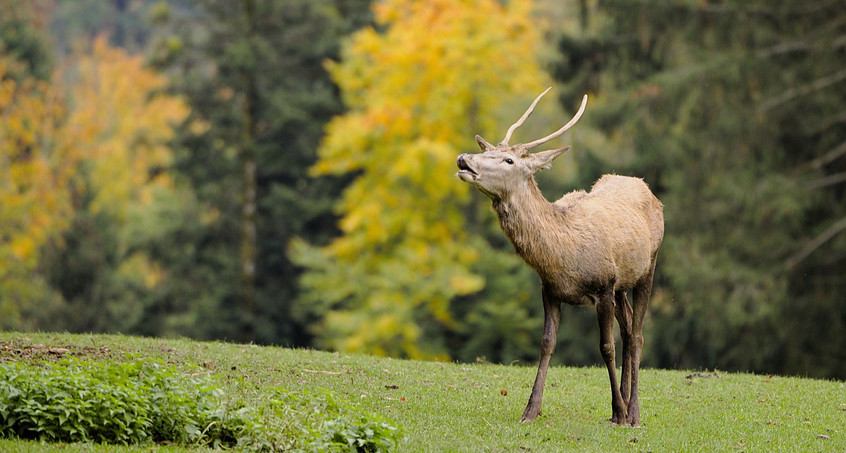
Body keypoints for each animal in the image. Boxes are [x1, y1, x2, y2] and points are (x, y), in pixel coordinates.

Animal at [458, 87, 664, 424]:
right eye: (488, 150)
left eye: (509, 159)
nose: (464, 159)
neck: (561, 256)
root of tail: (645, 187)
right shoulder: (550, 289)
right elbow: (546, 344)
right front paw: (530, 410)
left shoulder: (603, 286)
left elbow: (605, 347)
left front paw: (620, 412)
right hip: (622, 285)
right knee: (628, 328)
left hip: (648, 267)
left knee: (636, 334)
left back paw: (631, 411)